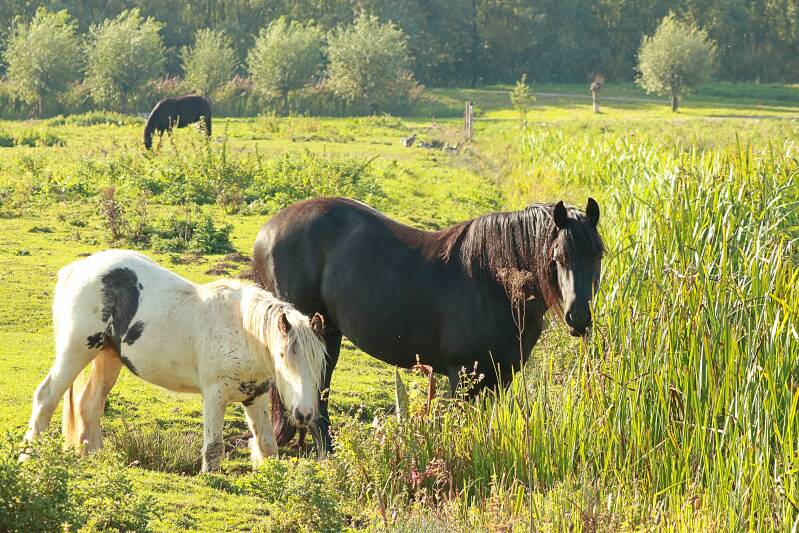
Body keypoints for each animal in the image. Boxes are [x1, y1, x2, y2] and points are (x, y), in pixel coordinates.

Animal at [24, 250, 327, 471]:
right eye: (283, 357)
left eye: (318, 362)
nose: (304, 414)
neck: (242, 330)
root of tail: (76, 270)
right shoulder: (214, 395)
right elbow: (214, 447)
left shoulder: (256, 395)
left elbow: (267, 444)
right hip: (76, 351)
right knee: (46, 397)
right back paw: (29, 456)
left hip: (108, 357)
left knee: (90, 404)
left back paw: (97, 457)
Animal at [252, 197, 604, 451]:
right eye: (557, 258)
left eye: (597, 257)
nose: (578, 318)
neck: (493, 283)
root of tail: (267, 231)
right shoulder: (463, 376)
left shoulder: (499, 376)